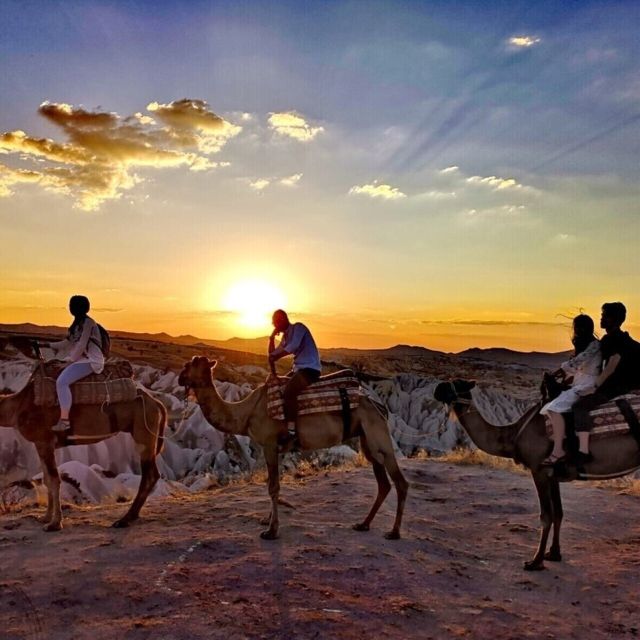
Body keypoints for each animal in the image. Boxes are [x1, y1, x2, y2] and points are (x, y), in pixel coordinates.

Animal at [0, 344, 168, 528]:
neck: (19, 406)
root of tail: (156, 403)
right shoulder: (41, 444)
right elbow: (46, 479)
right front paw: (45, 518)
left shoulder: (44, 440)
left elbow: (53, 480)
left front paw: (55, 524)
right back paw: (131, 516)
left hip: (144, 433)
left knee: (150, 474)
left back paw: (124, 519)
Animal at [178, 356, 408, 540]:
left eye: (192, 364)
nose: (180, 377)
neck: (246, 413)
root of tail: (379, 406)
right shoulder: (277, 448)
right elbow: (273, 485)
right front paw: (267, 520)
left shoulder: (269, 444)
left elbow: (273, 487)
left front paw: (271, 531)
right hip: (367, 439)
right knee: (383, 483)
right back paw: (363, 524)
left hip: (378, 436)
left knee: (400, 482)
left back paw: (394, 532)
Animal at [432, 380, 640, 568]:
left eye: (458, 383)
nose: (437, 388)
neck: (514, 434)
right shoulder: (552, 474)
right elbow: (559, 513)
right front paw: (553, 554)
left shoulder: (538, 470)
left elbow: (545, 516)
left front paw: (535, 561)